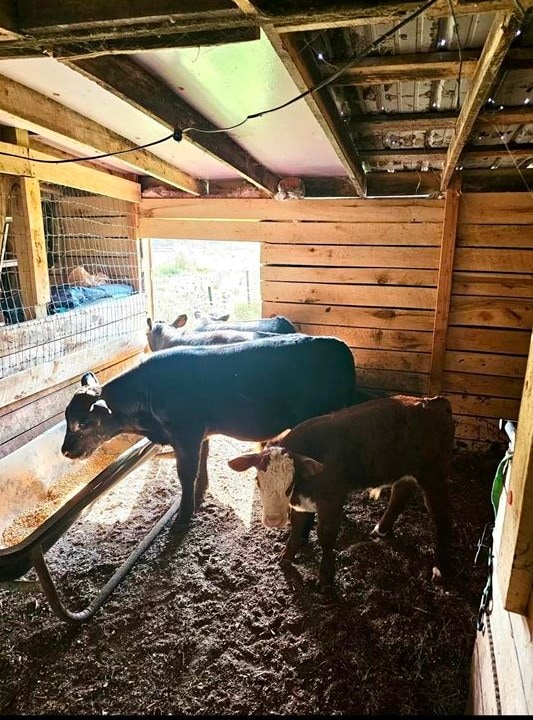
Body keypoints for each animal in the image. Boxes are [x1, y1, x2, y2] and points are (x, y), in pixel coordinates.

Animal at [227, 394, 456, 592]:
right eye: (258, 481)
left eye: (290, 484)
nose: (273, 520)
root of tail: (433, 402)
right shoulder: (301, 503)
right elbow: (297, 528)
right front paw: (286, 557)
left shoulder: (332, 499)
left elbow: (326, 535)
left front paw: (326, 579)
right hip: (404, 469)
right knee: (401, 492)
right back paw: (381, 529)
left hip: (434, 473)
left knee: (441, 515)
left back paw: (441, 568)